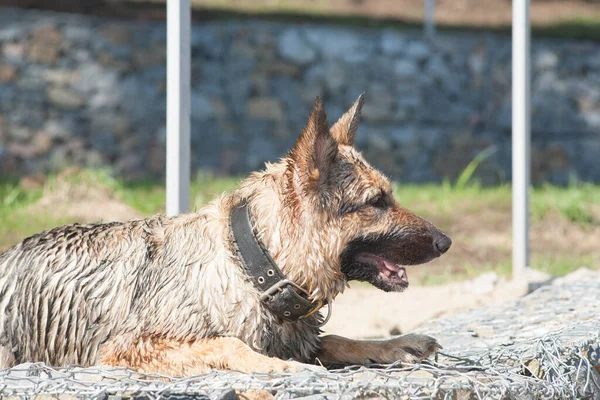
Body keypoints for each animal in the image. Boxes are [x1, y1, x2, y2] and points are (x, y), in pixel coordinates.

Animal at [0, 96, 450, 376]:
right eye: (377, 201)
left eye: (388, 195)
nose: (445, 242)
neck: (255, 266)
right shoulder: (129, 347)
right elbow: (228, 344)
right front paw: (276, 366)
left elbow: (340, 338)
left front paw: (396, 344)